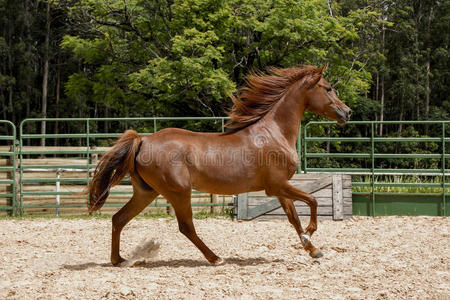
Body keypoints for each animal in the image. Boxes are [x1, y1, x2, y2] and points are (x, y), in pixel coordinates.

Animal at [88, 65, 352, 264]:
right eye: (328, 88)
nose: (347, 112)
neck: (274, 133)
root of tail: (142, 140)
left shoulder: (280, 189)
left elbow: (294, 217)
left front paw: (312, 249)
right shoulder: (276, 185)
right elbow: (313, 200)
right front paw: (311, 233)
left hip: (146, 193)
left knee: (118, 219)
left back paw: (118, 260)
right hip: (178, 192)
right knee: (186, 227)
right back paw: (215, 258)